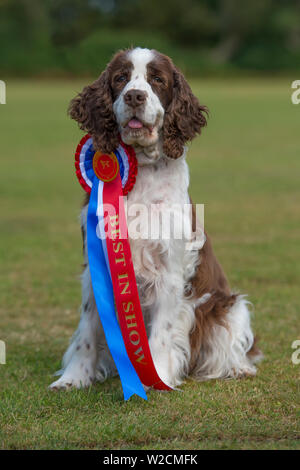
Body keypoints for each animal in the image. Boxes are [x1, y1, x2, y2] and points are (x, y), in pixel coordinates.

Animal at [48, 47, 260, 392]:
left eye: (157, 79)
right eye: (120, 77)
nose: (135, 96)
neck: (141, 170)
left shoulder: (169, 270)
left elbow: (162, 333)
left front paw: (158, 377)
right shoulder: (95, 266)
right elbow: (88, 329)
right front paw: (73, 378)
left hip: (229, 305)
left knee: (234, 344)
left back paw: (240, 368)